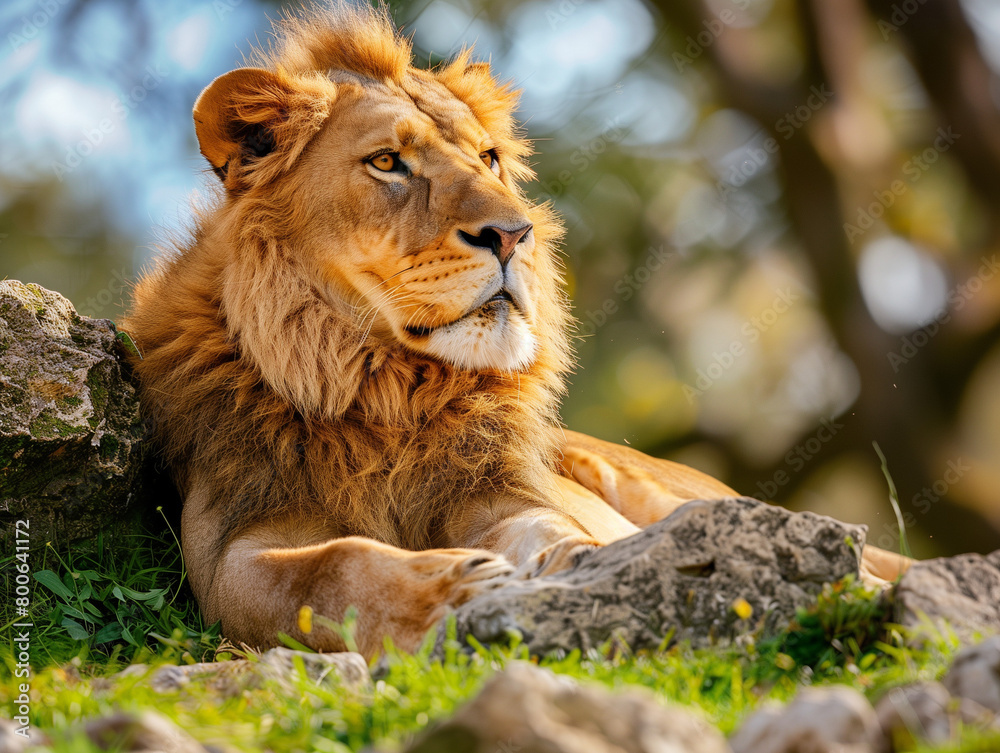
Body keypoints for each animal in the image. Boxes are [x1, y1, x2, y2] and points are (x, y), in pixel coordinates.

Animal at [124, 3, 909, 659]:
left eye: (488, 159)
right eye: (388, 162)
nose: (513, 234)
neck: (383, 387)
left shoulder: (500, 495)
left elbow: (549, 526)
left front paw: (581, 564)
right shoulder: (228, 556)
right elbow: (328, 571)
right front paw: (453, 592)